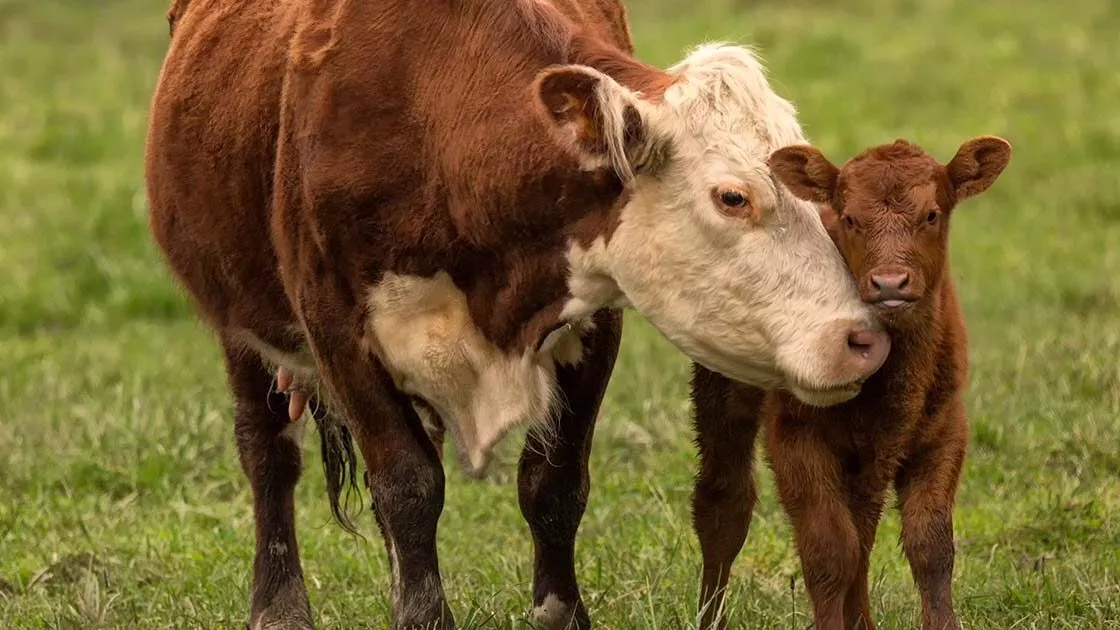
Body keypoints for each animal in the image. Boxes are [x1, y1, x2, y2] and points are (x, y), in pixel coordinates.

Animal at [142, 1, 891, 627]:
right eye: (733, 197)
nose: (863, 338)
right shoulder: (336, 329)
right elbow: (407, 486)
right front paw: (421, 617)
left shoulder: (593, 319)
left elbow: (552, 485)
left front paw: (560, 614)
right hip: (240, 324)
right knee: (268, 452)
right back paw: (278, 607)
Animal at [689, 135, 1016, 623]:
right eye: (849, 219)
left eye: (932, 214)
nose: (890, 283)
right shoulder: (796, 436)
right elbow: (828, 551)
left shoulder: (944, 432)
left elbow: (930, 545)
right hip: (721, 390)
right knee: (724, 504)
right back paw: (710, 617)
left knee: (863, 527)